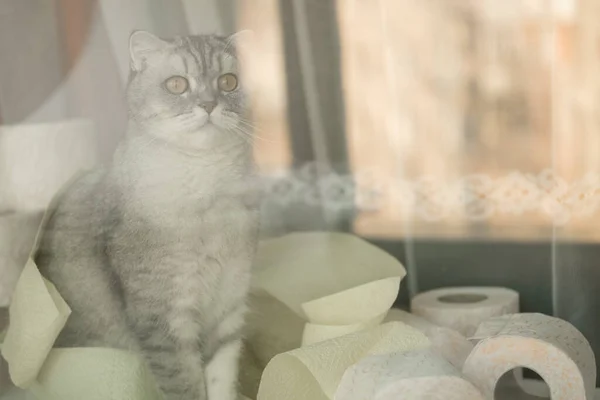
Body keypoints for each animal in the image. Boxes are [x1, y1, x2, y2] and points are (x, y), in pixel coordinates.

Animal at [35, 32, 260, 400]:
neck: (207, 188)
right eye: (177, 84)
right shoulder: (164, 319)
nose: (209, 105)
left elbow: (221, 380)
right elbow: (186, 385)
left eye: (228, 82)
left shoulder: (228, 306)